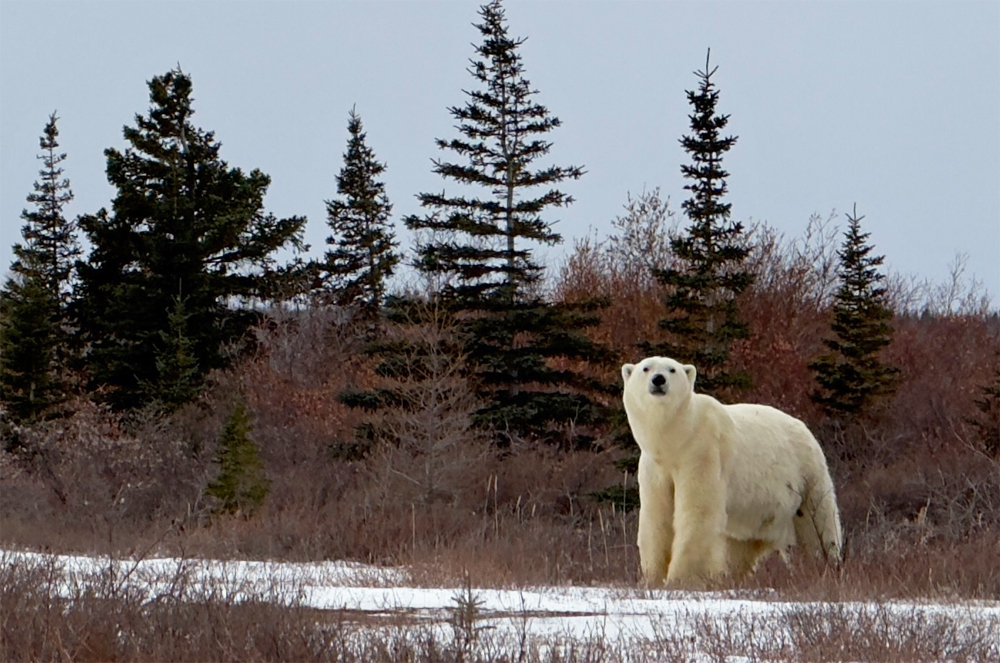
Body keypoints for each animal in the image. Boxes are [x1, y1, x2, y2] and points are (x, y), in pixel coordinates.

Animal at [620, 358, 840, 588]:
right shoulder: (655, 466)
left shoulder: (703, 452)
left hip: (807, 474)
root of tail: (806, 429)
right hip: (755, 511)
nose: (658, 380)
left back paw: (824, 568)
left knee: (818, 525)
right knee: (741, 545)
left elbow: (698, 511)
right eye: (646, 368)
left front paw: (681, 578)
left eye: (672, 369)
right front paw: (652, 577)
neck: (680, 437)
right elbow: (657, 515)